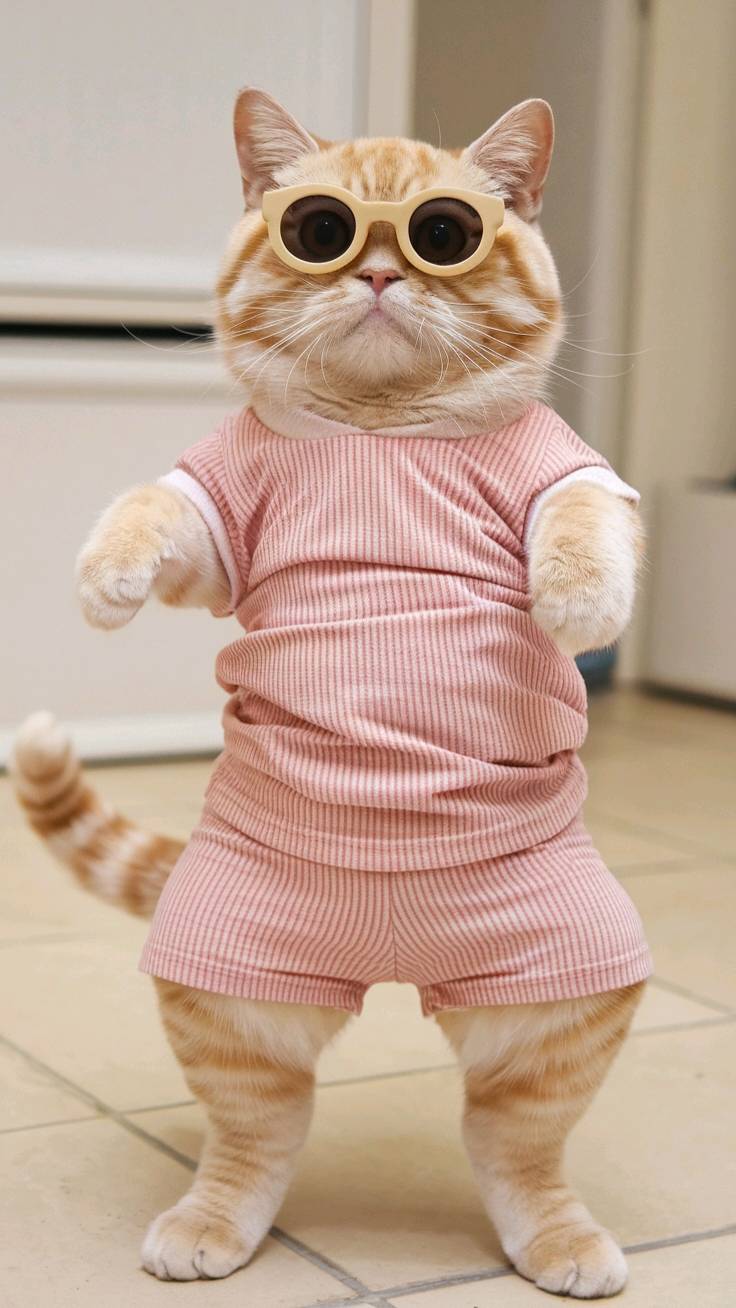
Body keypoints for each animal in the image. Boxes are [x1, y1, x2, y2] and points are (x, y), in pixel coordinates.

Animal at [12, 89, 650, 1298]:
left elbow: (584, 520)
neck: (379, 430)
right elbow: (149, 506)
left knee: (510, 1141)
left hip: (561, 997)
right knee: (260, 1132)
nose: (383, 272)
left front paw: (579, 597)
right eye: (321, 230)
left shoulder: (573, 472)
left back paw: (557, 1237)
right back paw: (212, 1223)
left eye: (445, 234)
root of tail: (392, 966)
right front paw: (103, 574)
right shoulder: (214, 519)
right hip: (233, 996)